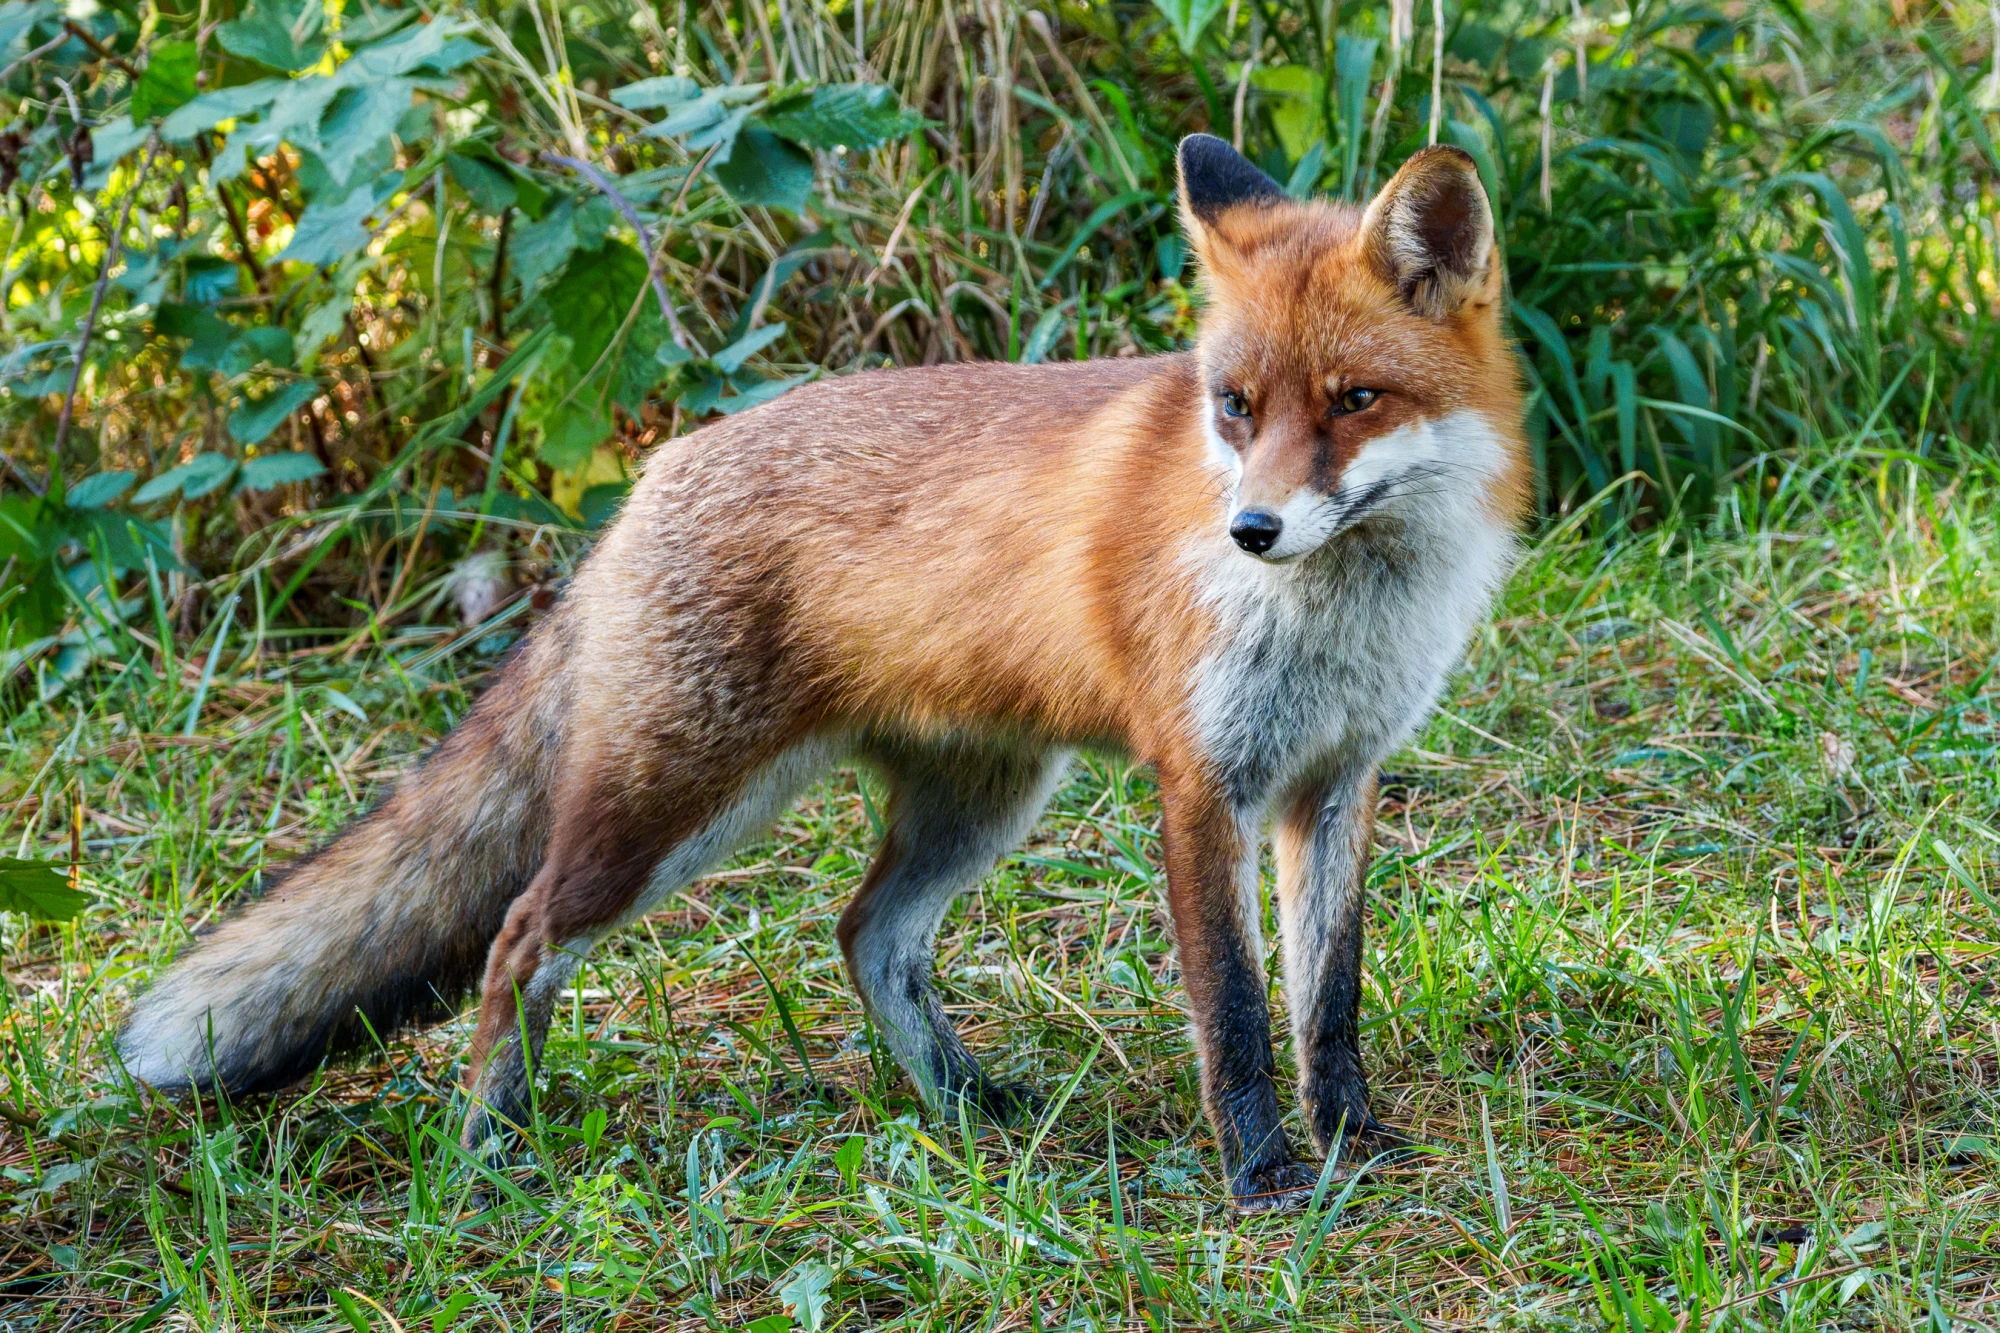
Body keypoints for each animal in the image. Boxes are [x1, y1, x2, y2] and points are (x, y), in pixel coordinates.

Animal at [118, 136, 1528, 1212]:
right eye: (1234, 405)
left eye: (1351, 400)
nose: (1250, 529)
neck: (1346, 611)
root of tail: (645, 484)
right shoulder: (1202, 785)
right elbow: (1233, 1013)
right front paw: (1262, 1175)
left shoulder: (1335, 780)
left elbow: (1325, 1002)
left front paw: (1350, 1139)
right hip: (670, 810)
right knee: (517, 938)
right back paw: (490, 1148)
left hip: (980, 800)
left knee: (866, 935)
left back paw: (966, 1103)